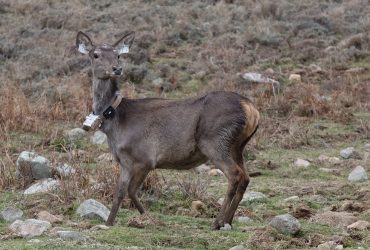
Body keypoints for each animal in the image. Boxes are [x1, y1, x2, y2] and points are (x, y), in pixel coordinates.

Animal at [76, 30, 260, 229]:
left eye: (118, 55)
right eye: (96, 55)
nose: (117, 68)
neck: (115, 123)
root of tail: (251, 109)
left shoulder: (144, 158)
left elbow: (131, 190)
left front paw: (148, 218)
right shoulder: (124, 161)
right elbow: (120, 192)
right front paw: (111, 222)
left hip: (215, 141)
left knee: (235, 175)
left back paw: (218, 222)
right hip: (237, 146)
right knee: (246, 177)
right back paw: (228, 221)